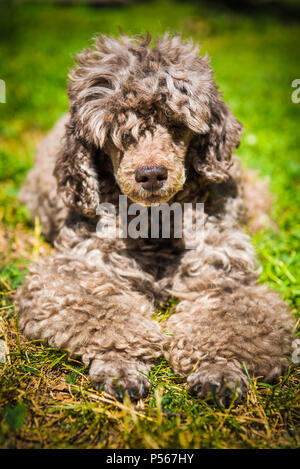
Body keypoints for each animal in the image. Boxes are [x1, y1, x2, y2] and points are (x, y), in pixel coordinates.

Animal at [15, 33, 294, 400]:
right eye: (115, 131)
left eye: (176, 123)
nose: (150, 175)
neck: (155, 223)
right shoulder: (81, 271)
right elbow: (104, 314)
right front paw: (120, 364)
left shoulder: (224, 277)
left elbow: (227, 320)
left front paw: (219, 368)